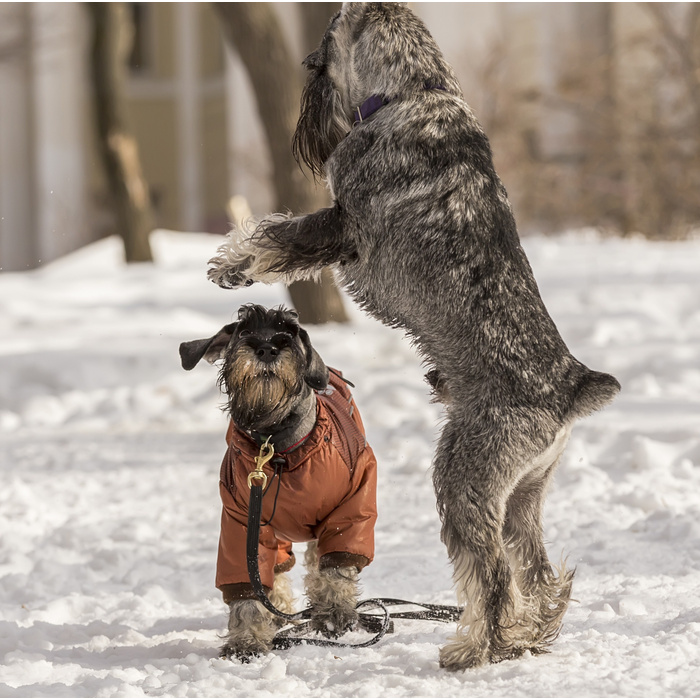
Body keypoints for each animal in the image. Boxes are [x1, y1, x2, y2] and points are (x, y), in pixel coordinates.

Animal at [180, 304, 378, 660]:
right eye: (244, 330)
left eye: (289, 330)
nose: (267, 348)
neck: (277, 445)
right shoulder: (243, 525)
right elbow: (250, 588)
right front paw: (247, 640)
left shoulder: (350, 508)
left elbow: (335, 566)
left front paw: (335, 615)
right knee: (278, 568)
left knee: (314, 558)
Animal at [206, 1, 616, 672]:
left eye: (315, 62)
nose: (306, 127)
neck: (415, 87)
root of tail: (570, 389)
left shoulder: (342, 222)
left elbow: (279, 236)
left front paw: (231, 264)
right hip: (521, 495)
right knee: (536, 572)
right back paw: (530, 636)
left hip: (463, 480)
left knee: (491, 577)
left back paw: (475, 648)